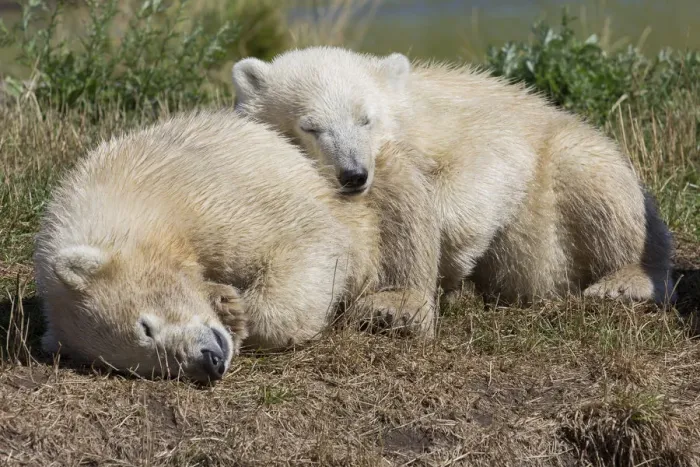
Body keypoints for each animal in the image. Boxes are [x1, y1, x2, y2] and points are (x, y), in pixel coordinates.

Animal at [33, 108, 421, 384]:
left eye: (145, 327)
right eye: (144, 367)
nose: (209, 362)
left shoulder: (213, 196)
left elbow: (307, 238)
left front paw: (236, 309)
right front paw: (223, 300)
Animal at [231, 46, 677, 306]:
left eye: (365, 119)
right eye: (310, 126)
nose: (353, 175)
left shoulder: (445, 121)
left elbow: (490, 155)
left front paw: (450, 254)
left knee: (592, 176)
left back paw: (622, 281)